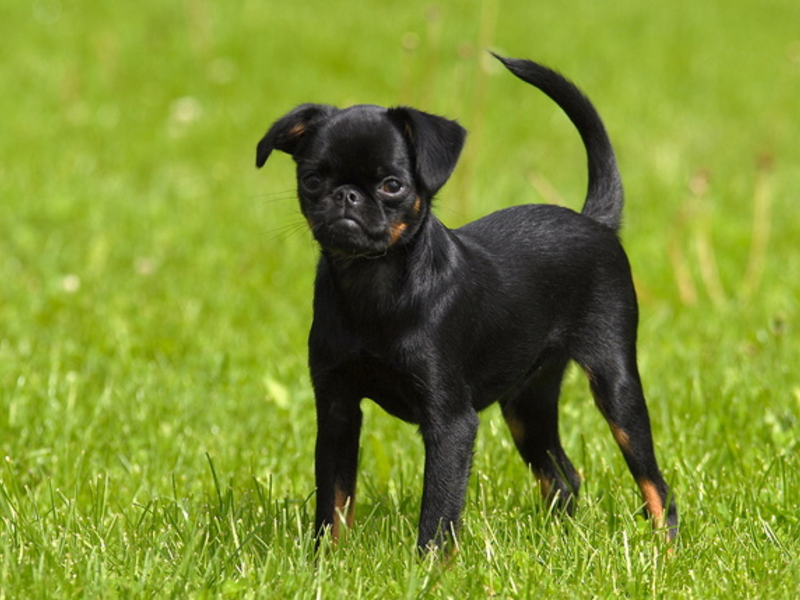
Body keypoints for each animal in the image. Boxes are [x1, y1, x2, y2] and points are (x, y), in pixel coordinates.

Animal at [255, 55, 676, 548]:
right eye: (312, 180)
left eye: (393, 185)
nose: (346, 195)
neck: (374, 285)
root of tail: (595, 221)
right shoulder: (337, 410)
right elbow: (333, 502)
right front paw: (326, 560)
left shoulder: (451, 422)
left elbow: (437, 513)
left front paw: (427, 565)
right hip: (525, 404)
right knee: (563, 476)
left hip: (615, 385)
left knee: (656, 486)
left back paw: (666, 550)